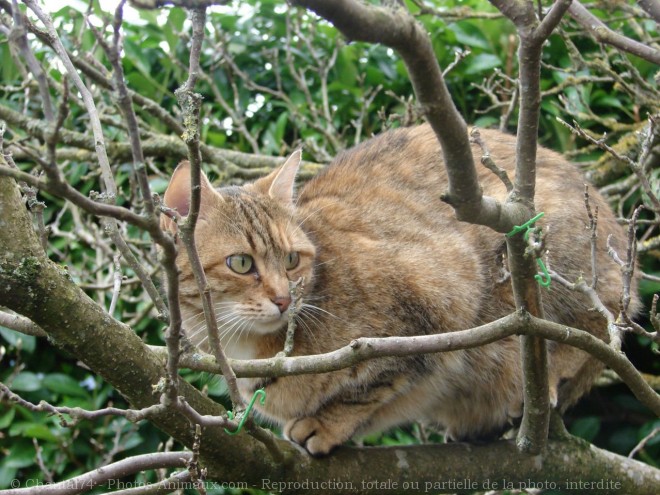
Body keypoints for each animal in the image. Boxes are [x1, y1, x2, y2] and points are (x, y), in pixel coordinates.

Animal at [161, 125, 640, 458]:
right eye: (241, 264)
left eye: (293, 260)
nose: (283, 299)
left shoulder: (439, 298)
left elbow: (376, 381)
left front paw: (327, 424)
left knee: (591, 328)